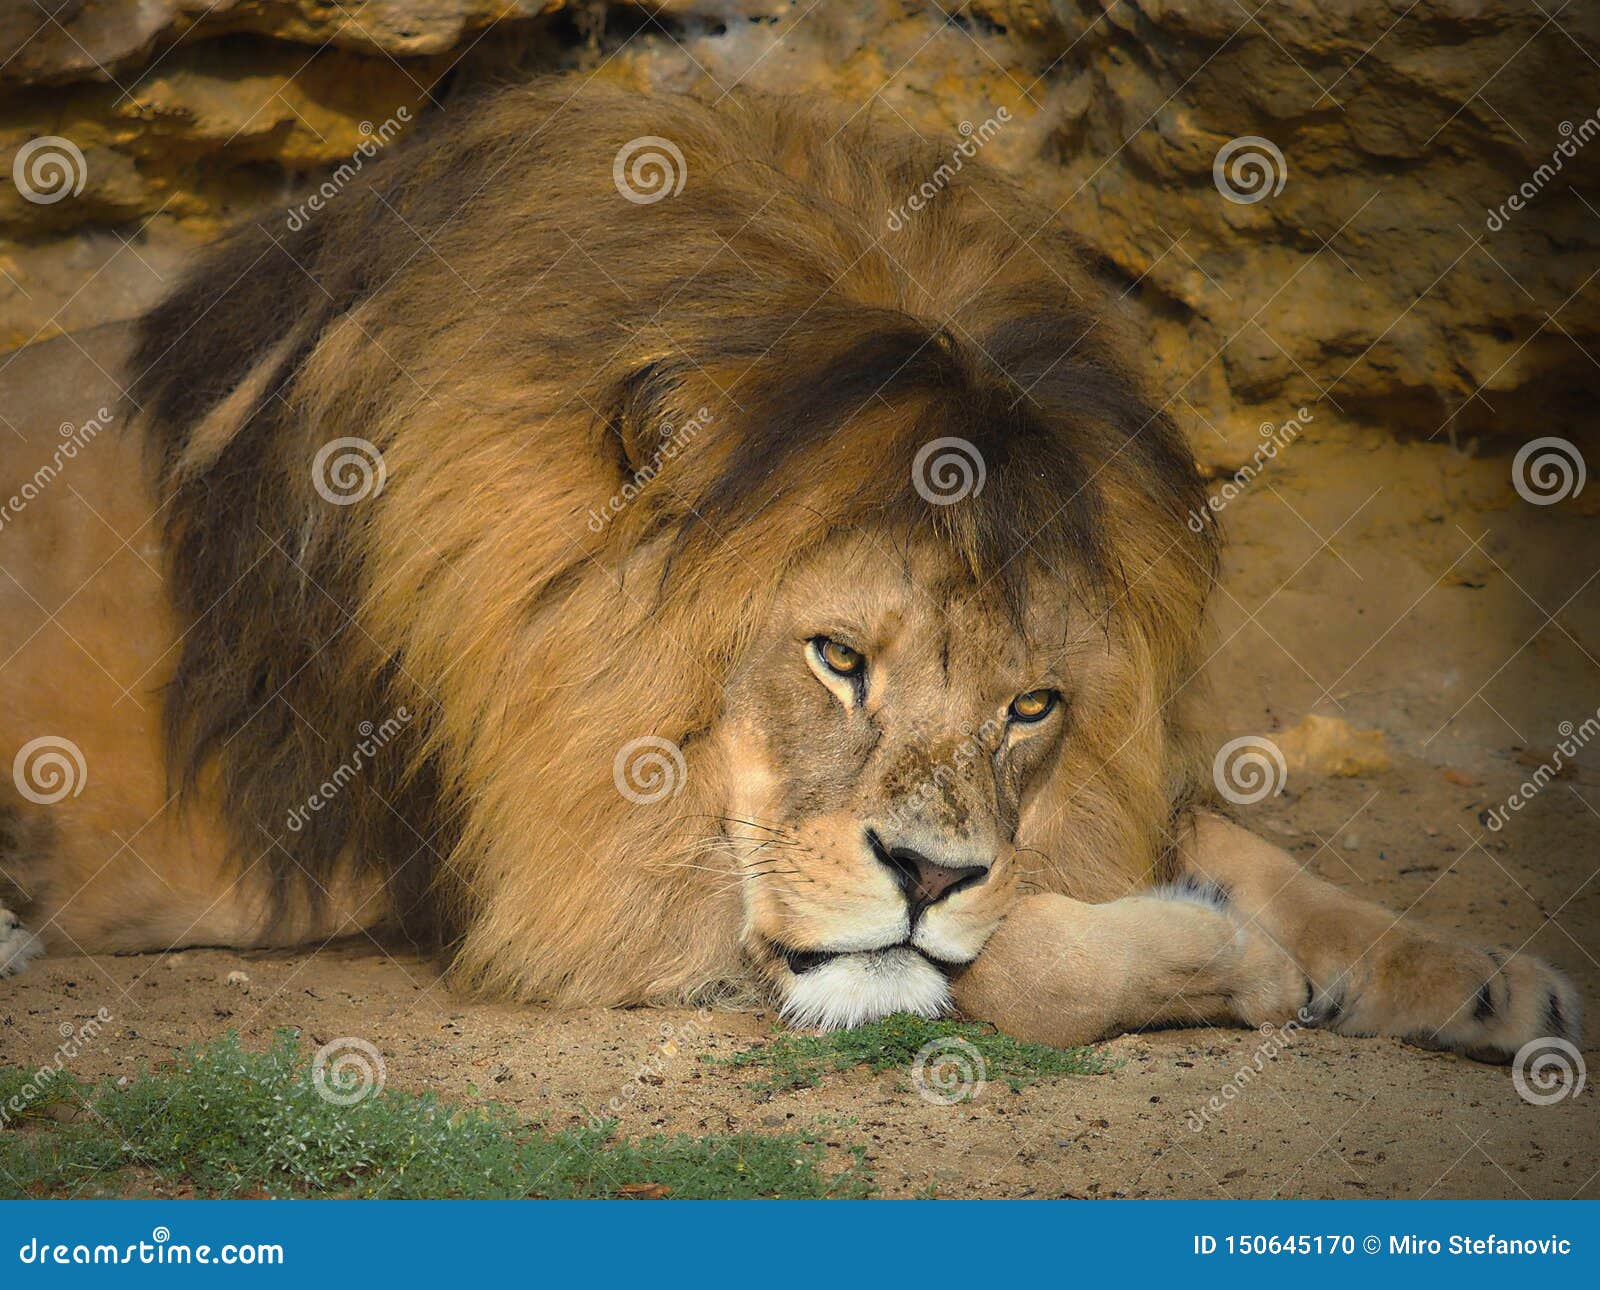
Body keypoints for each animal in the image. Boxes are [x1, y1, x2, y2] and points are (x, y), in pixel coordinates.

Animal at [0, 78, 1580, 1062]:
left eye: (1030, 706)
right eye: (836, 658)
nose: (930, 872)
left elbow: (1236, 847)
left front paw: (1486, 979)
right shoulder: (575, 875)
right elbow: (1004, 958)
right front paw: (1234, 961)